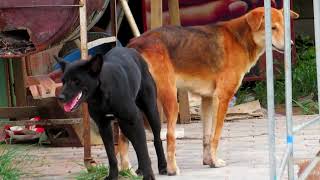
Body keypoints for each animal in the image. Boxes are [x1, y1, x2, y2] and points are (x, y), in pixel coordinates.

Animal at [56, 47, 168, 180]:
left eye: (76, 81)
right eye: (63, 81)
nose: (60, 97)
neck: (101, 95)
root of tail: (132, 50)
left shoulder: (135, 120)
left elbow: (143, 151)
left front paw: (149, 176)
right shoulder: (104, 126)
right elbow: (112, 156)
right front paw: (113, 176)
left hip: (151, 111)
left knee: (156, 139)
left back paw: (163, 166)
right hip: (125, 126)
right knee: (136, 144)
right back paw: (140, 169)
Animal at [119, 7, 298, 176]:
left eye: (284, 27)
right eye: (273, 28)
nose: (290, 45)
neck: (241, 39)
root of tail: (133, 44)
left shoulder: (207, 100)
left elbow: (207, 136)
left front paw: (208, 160)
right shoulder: (223, 98)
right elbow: (216, 135)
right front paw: (215, 161)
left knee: (122, 138)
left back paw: (127, 170)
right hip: (167, 102)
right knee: (169, 136)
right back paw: (171, 169)